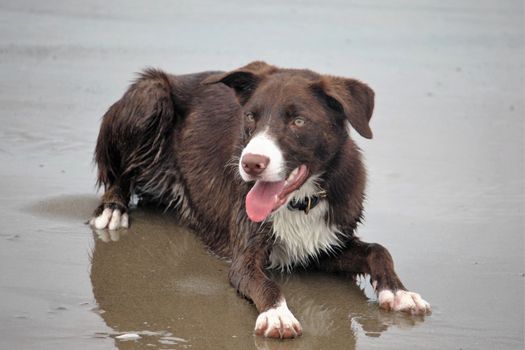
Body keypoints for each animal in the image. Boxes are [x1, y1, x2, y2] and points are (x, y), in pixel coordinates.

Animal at [89, 60, 430, 340]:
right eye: (251, 117)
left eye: (299, 121)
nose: (250, 163)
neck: (299, 203)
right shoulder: (244, 257)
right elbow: (265, 283)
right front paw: (277, 314)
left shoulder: (324, 244)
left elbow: (378, 250)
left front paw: (399, 292)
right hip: (149, 93)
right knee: (118, 172)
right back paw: (113, 209)